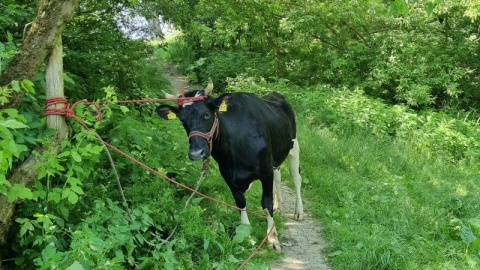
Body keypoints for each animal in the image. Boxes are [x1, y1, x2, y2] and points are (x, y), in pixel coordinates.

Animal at [156, 82, 302, 251]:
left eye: (207, 114)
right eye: (182, 120)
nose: (196, 153)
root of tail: (275, 95)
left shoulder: (265, 170)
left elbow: (266, 204)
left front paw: (272, 239)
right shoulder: (227, 174)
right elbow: (240, 203)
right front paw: (246, 234)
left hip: (293, 146)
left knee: (296, 177)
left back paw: (299, 211)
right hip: (277, 157)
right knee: (278, 176)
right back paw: (279, 206)